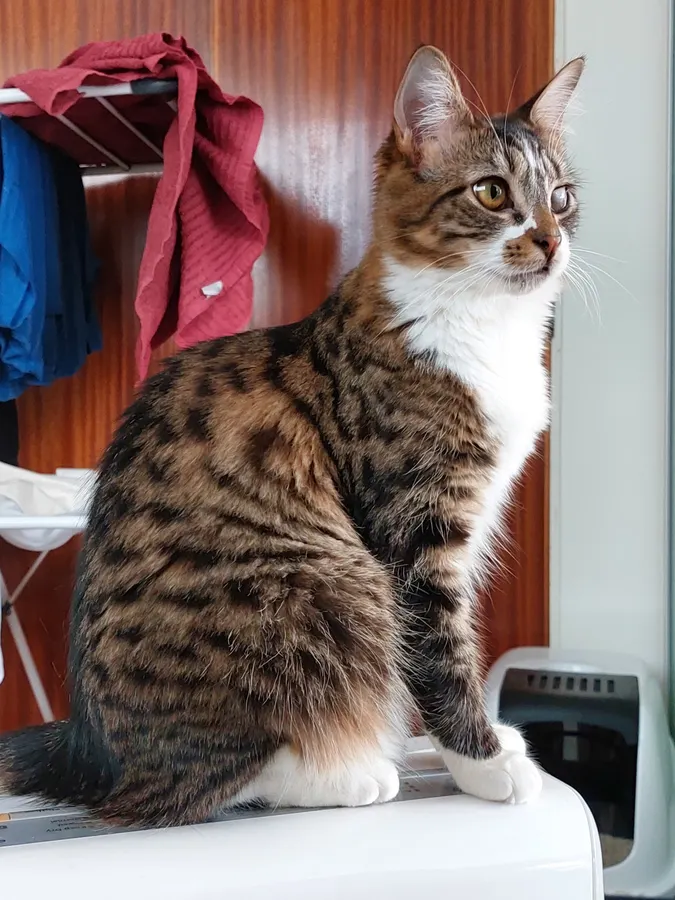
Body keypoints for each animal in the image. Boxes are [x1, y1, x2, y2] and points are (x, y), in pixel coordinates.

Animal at [0, 47, 580, 824]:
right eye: (491, 193)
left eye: (562, 198)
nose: (550, 241)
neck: (485, 328)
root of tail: (89, 754)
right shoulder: (414, 531)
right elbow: (441, 656)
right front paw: (485, 765)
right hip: (327, 585)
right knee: (219, 779)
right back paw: (350, 775)